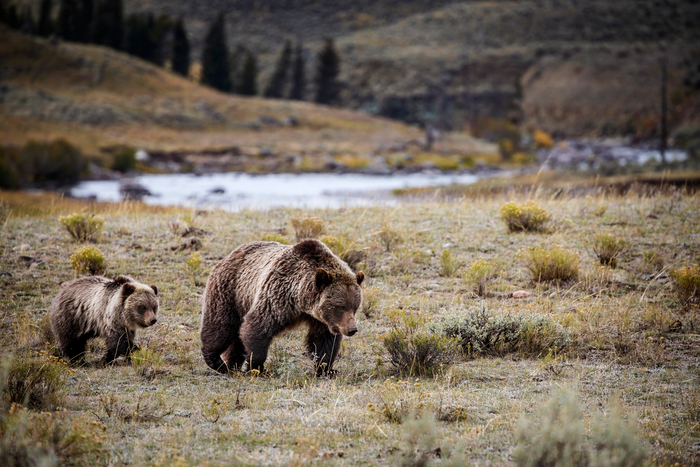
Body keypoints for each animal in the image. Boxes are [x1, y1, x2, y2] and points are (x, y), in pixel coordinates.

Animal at [201, 241, 366, 376]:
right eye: (340, 306)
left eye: (355, 307)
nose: (352, 329)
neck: (300, 300)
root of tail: (229, 255)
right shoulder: (277, 296)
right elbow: (257, 327)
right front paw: (257, 368)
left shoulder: (322, 319)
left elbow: (324, 341)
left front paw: (326, 369)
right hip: (231, 292)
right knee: (221, 326)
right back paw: (217, 361)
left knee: (236, 337)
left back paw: (232, 365)